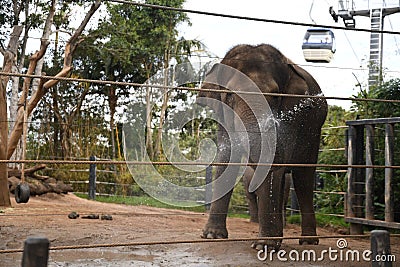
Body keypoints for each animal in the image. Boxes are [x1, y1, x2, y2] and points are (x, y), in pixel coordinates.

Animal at [195, 44, 326, 251]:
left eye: (274, 95)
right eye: (230, 95)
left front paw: (264, 246)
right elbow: (227, 159)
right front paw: (211, 236)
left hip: (313, 131)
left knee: (303, 178)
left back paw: (308, 241)